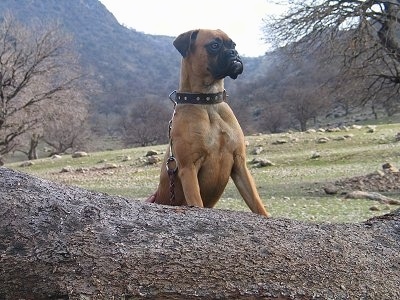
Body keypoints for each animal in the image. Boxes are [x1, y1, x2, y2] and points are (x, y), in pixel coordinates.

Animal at [147, 28, 268, 216]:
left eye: (233, 44)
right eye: (214, 45)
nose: (234, 53)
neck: (208, 102)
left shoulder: (240, 164)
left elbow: (256, 202)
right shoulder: (188, 168)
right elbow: (197, 201)